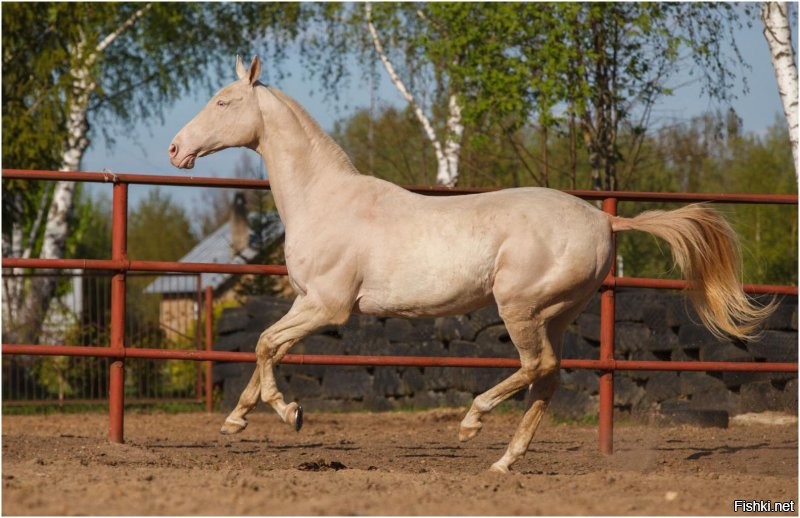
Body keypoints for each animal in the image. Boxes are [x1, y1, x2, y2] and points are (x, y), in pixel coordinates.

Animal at [170, 57, 776, 476]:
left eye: (223, 102)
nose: (176, 150)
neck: (326, 200)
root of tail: (605, 221)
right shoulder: (305, 301)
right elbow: (267, 347)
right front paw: (240, 419)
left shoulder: (329, 306)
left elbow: (265, 344)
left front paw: (287, 412)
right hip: (556, 312)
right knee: (548, 378)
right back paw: (504, 462)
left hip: (520, 306)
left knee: (536, 367)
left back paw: (472, 422)